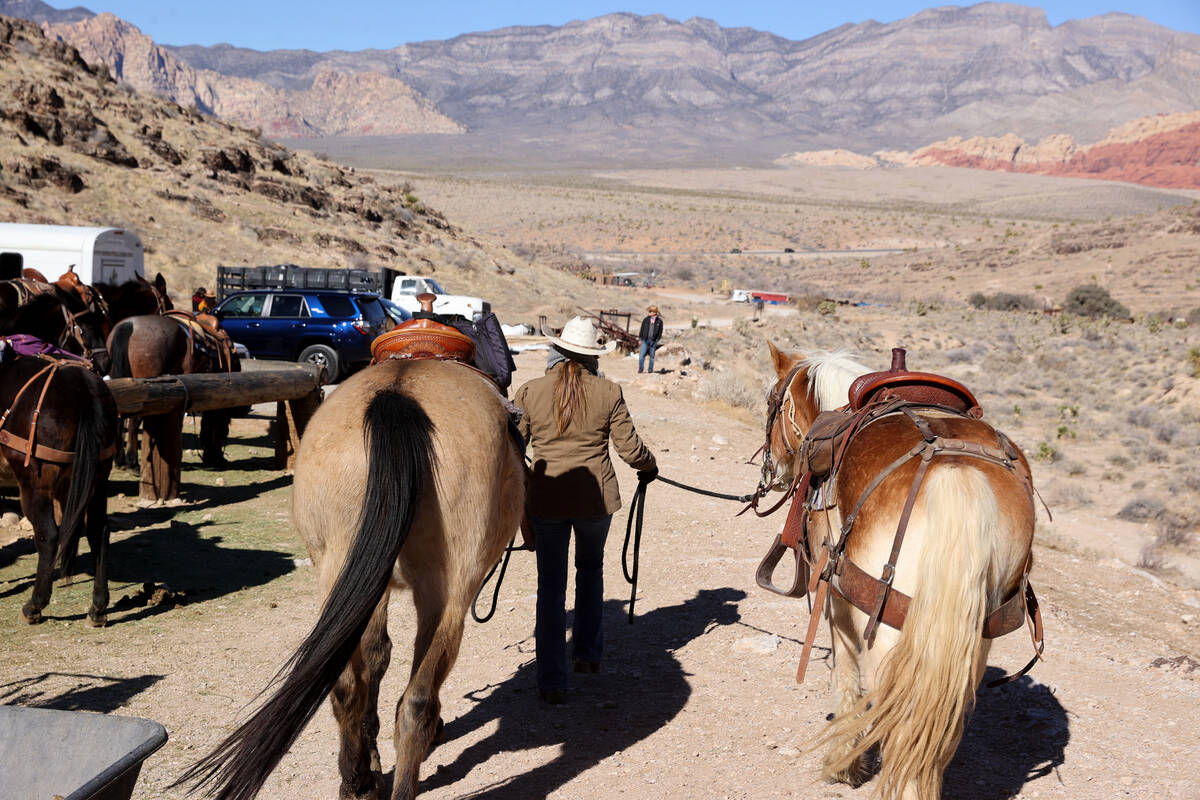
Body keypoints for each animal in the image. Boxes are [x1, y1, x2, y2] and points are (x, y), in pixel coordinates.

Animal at [176, 357, 525, 800]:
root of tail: (397, 395)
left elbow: (374, 656)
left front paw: (370, 759)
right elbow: (382, 660)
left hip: (334, 567)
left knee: (343, 684)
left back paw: (356, 780)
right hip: (449, 592)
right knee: (418, 699)